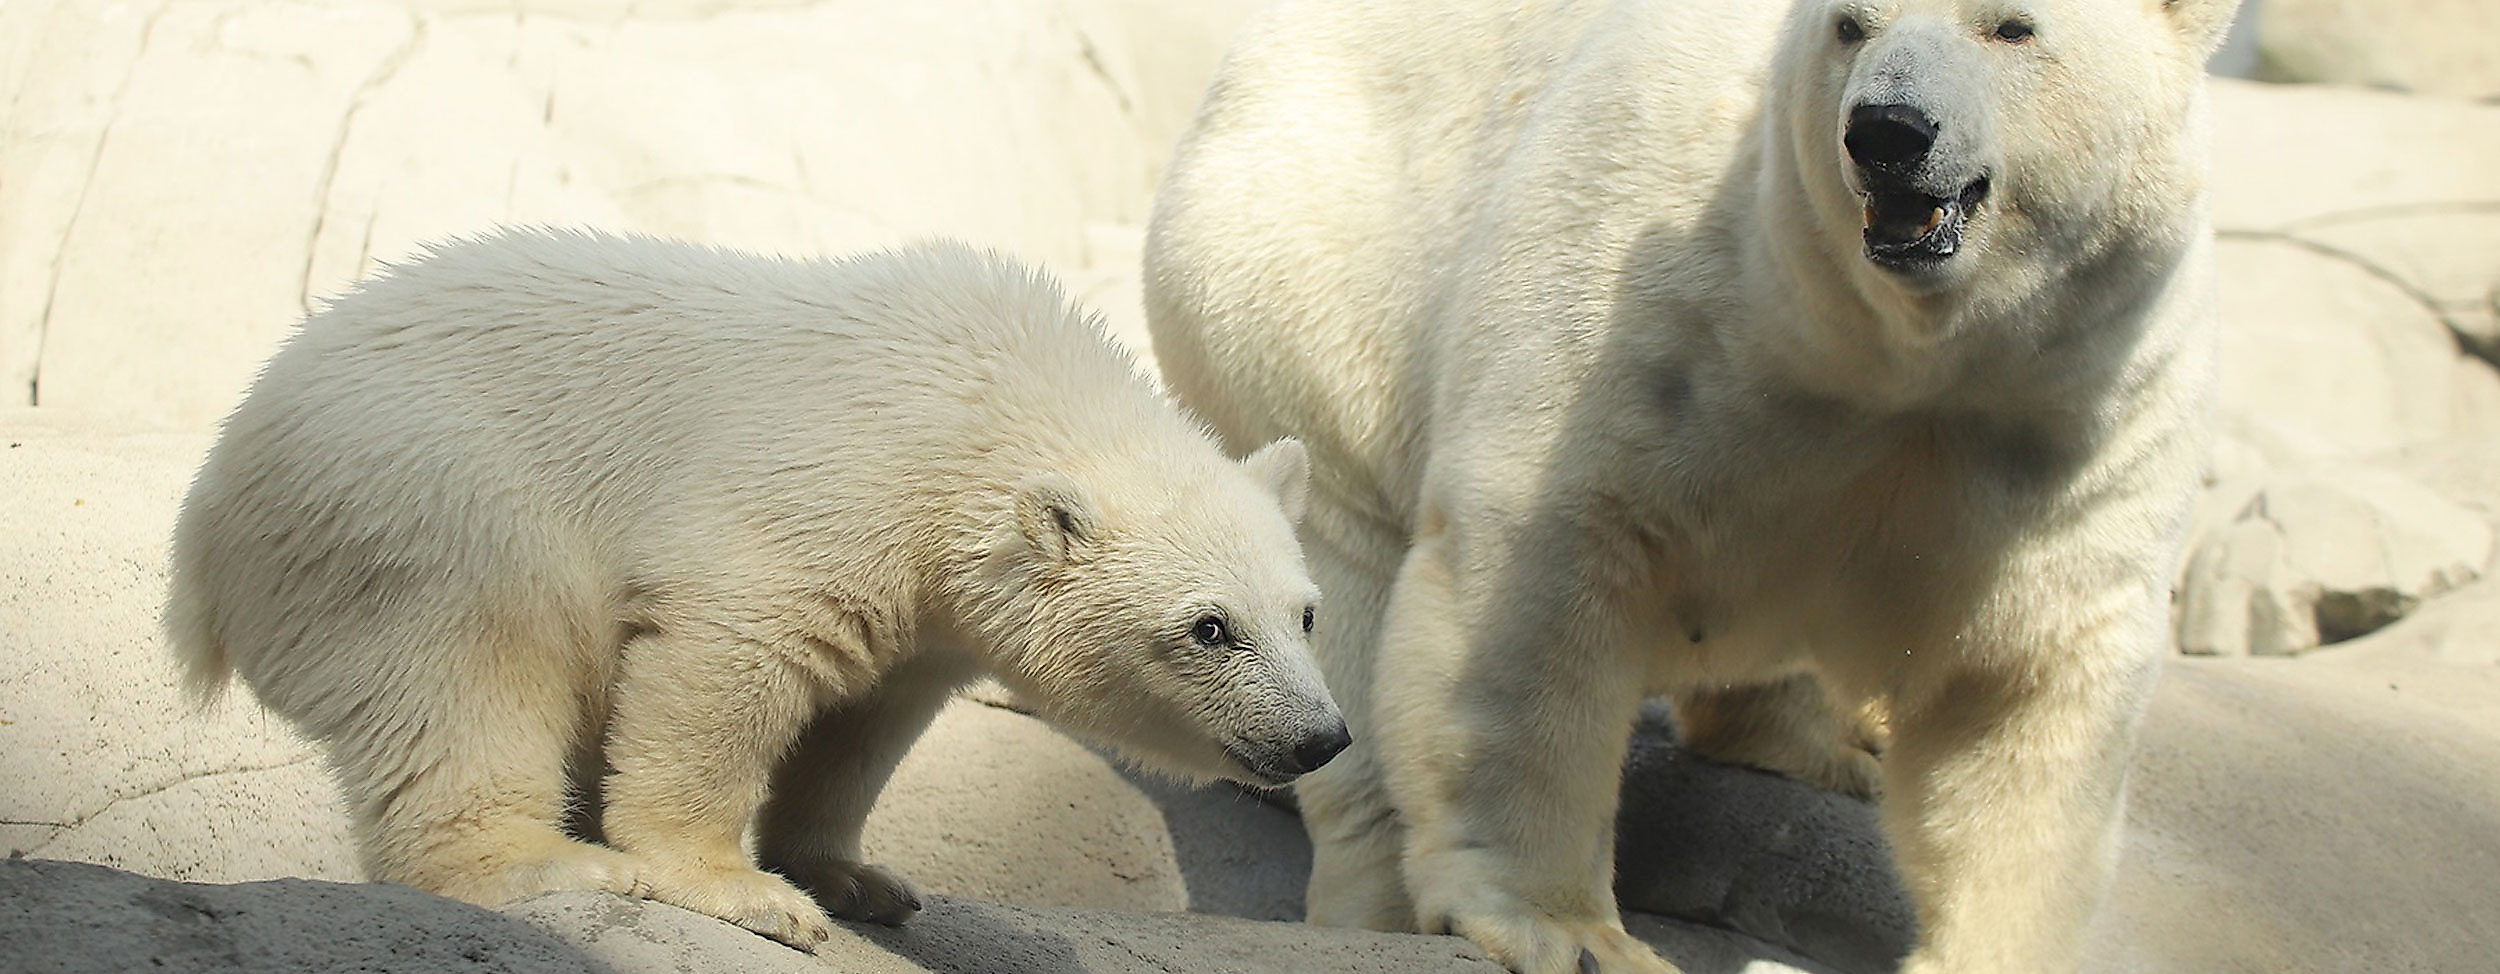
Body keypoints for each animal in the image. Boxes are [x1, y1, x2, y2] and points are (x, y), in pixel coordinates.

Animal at [166, 229, 1349, 952]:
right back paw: (548, 863)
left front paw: (858, 876)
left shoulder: (928, 600)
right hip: (411, 500)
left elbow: (866, 721)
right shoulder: (836, 480)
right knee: (469, 671)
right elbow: (727, 648)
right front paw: (739, 886)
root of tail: (206, 531)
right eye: (1208, 628)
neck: (991, 396)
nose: (1320, 737)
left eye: (1305, 611)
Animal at [1142, 0, 2238, 971]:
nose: (1887, 132)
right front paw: (1571, 933)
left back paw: (1835, 745)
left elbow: (2022, 685)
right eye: (1853, 24)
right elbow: (1540, 568)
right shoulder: (1659, 300)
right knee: (1350, 601)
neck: (1900, 349)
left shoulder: (2075, 405)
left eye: (2012, 27)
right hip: (1305, 296)